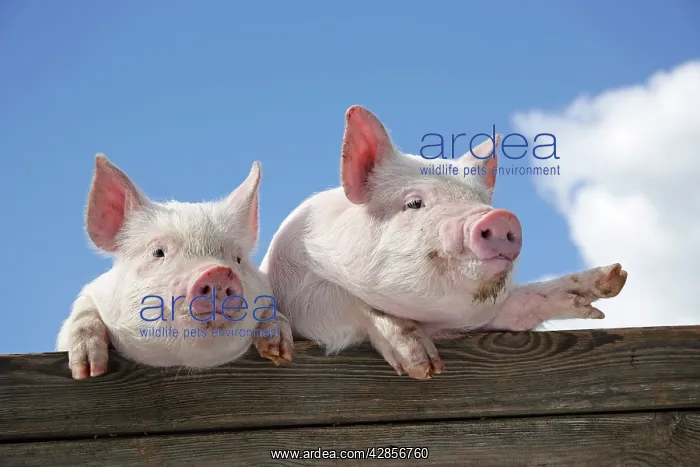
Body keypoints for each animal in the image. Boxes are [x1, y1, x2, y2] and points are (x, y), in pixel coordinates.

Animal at [57, 154, 293, 379]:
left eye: (238, 259)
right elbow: (83, 316)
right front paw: (88, 372)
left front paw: (280, 351)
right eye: (157, 252)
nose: (218, 272)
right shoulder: (92, 293)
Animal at [260, 105, 627, 380]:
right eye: (414, 203)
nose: (500, 217)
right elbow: (352, 303)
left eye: (482, 200)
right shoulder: (300, 293)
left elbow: (516, 306)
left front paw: (611, 279)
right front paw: (424, 366)